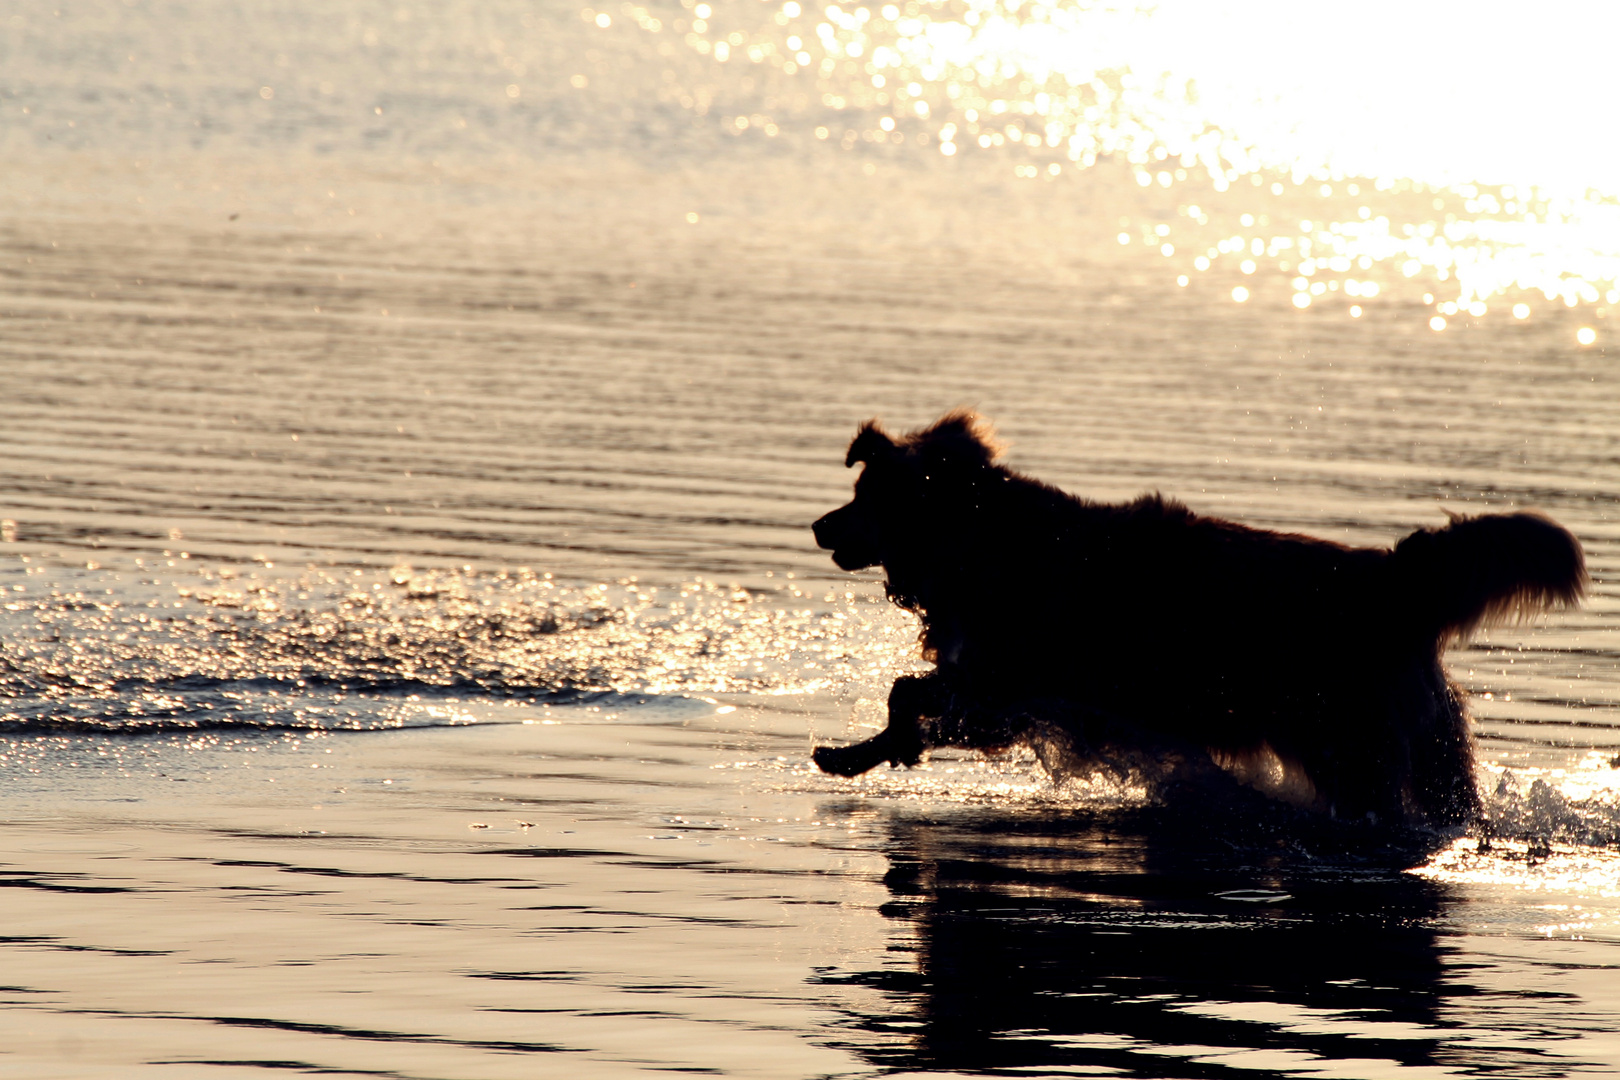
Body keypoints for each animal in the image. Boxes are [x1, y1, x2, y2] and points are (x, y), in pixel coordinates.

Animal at [810, 414, 1581, 829]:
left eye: (864, 496)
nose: (819, 526)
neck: (980, 542)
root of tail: (1389, 577)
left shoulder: (1008, 681)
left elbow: (909, 694)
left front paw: (865, 749)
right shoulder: (1006, 691)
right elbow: (912, 703)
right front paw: (862, 754)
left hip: (1346, 737)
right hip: (1429, 739)